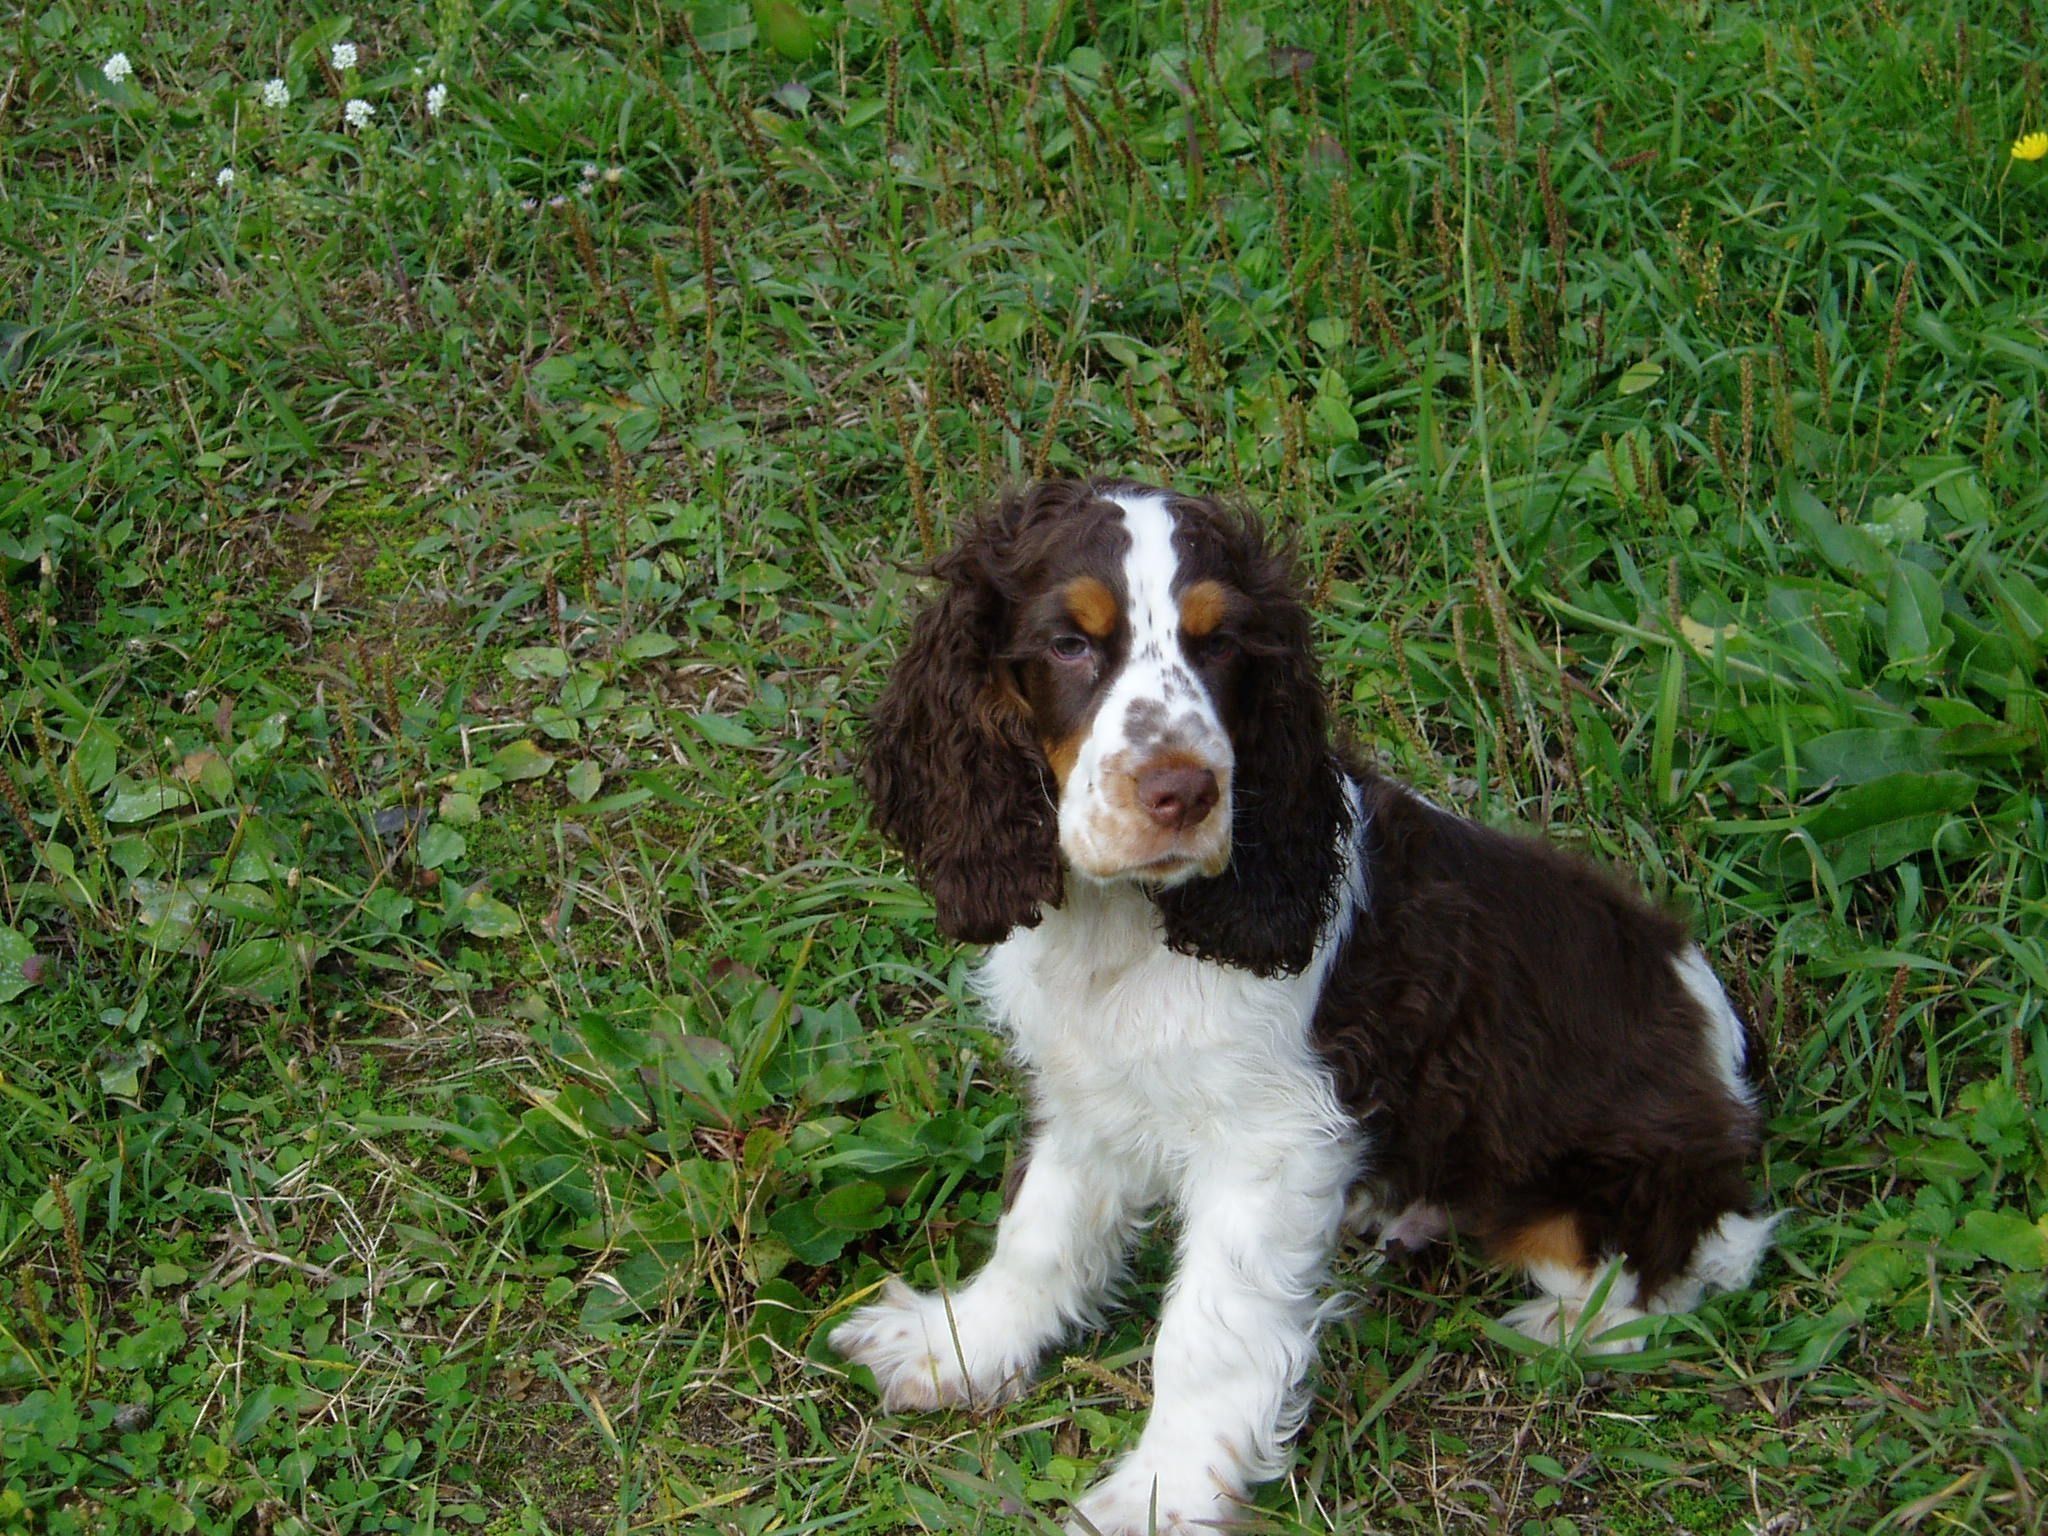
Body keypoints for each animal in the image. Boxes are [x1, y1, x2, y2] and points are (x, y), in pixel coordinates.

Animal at [831, 481, 1777, 1536]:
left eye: (1221, 645)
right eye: (1070, 643)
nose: (1183, 792)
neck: (1134, 923)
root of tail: (1725, 1047)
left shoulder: (1271, 1138)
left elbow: (1207, 1331)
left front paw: (1160, 1494)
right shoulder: (1092, 1091)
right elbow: (1042, 1230)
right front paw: (958, 1344)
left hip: (1598, 1179)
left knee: (1707, 1253)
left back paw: (1564, 1322)